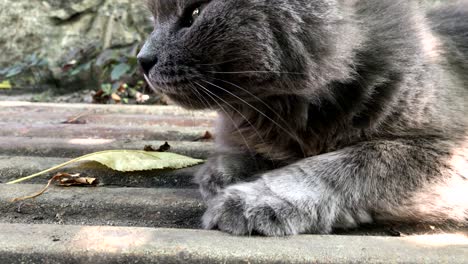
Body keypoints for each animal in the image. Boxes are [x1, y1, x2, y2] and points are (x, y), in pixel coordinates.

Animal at [137, 0, 466, 235]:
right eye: (153, 18)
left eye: (194, 12)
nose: (142, 60)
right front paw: (223, 174)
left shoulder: (446, 146)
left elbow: (349, 165)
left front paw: (256, 198)